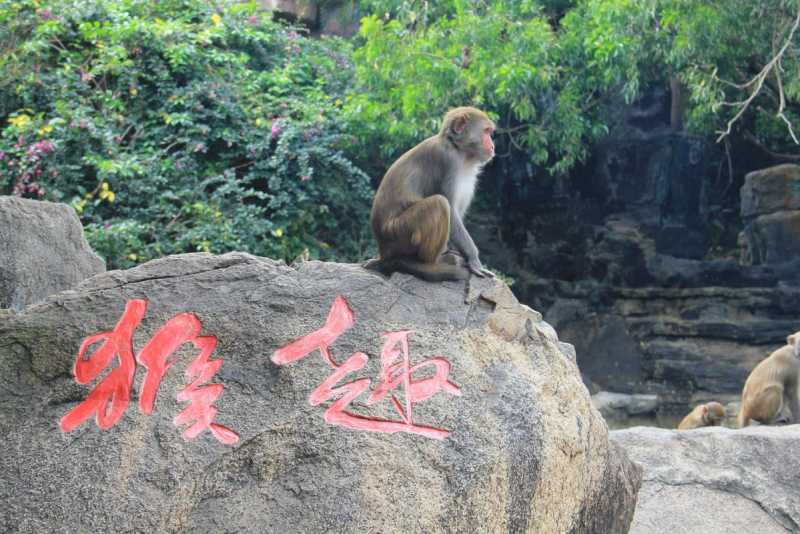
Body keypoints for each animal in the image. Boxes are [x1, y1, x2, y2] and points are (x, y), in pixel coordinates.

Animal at [366, 104, 496, 280]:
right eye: (486, 131)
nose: (493, 146)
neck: (460, 152)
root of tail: (383, 251)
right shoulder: (447, 161)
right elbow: (451, 211)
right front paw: (473, 257)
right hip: (398, 233)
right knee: (439, 203)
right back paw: (429, 264)